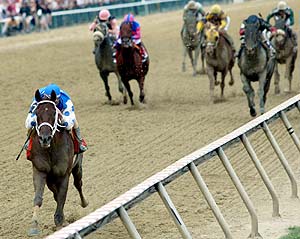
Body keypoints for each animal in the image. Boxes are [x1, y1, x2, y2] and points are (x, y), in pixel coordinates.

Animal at [27, 89, 88, 235]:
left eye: (54, 113)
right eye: (37, 114)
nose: (45, 138)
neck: (51, 148)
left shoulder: (63, 173)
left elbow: (62, 196)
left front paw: (59, 222)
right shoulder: (40, 170)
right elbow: (39, 197)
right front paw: (34, 225)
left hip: (77, 167)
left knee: (78, 184)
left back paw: (84, 203)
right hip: (50, 178)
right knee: (55, 193)